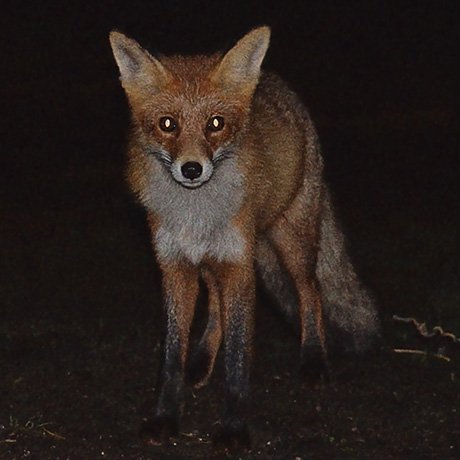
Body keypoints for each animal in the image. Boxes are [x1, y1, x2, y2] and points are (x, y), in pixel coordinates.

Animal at [110, 26, 378, 450]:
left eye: (216, 123)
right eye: (167, 124)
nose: (191, 169)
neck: (197, 214)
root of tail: (273, 81)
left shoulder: (238, 265)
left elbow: (238, 358)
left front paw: (234, 428)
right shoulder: (176, 267)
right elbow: (171, 355)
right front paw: (165, 417)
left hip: (291, 241)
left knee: (311, 291)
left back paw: (314, 361)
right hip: (215, 261)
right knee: (217, 305)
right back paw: (201, 362)